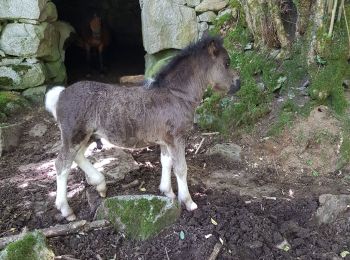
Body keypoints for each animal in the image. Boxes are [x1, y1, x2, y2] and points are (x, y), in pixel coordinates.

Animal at [45, 36, 239, 220]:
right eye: (226, 62)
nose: (238, 83)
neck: (177, 94)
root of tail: (61, 94)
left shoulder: (166, 140)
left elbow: (166, 162)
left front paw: (167, 192)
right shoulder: (177, 138)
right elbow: (181, 168)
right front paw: (188, 202)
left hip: (87, 136)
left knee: (77, 157)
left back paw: (100, 184)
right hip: (74, 136)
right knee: (62, 164)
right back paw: (66, 210)